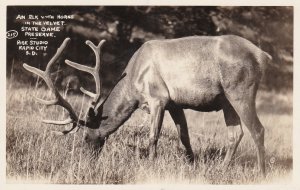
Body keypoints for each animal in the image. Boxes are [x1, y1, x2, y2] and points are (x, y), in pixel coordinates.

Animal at [23, 35, 272, 175]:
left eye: (85, 137)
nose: (83, 161)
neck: (133, 84)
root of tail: (263, 56)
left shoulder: (158, 97)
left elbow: (153, 136)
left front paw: (151, 165)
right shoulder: (175, 103)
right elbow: (184, 136)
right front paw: (191, 164)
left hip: (240, 90)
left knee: (258, 129)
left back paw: (261, 174)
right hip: (226, 99)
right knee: (235, 133)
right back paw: (221, 170)